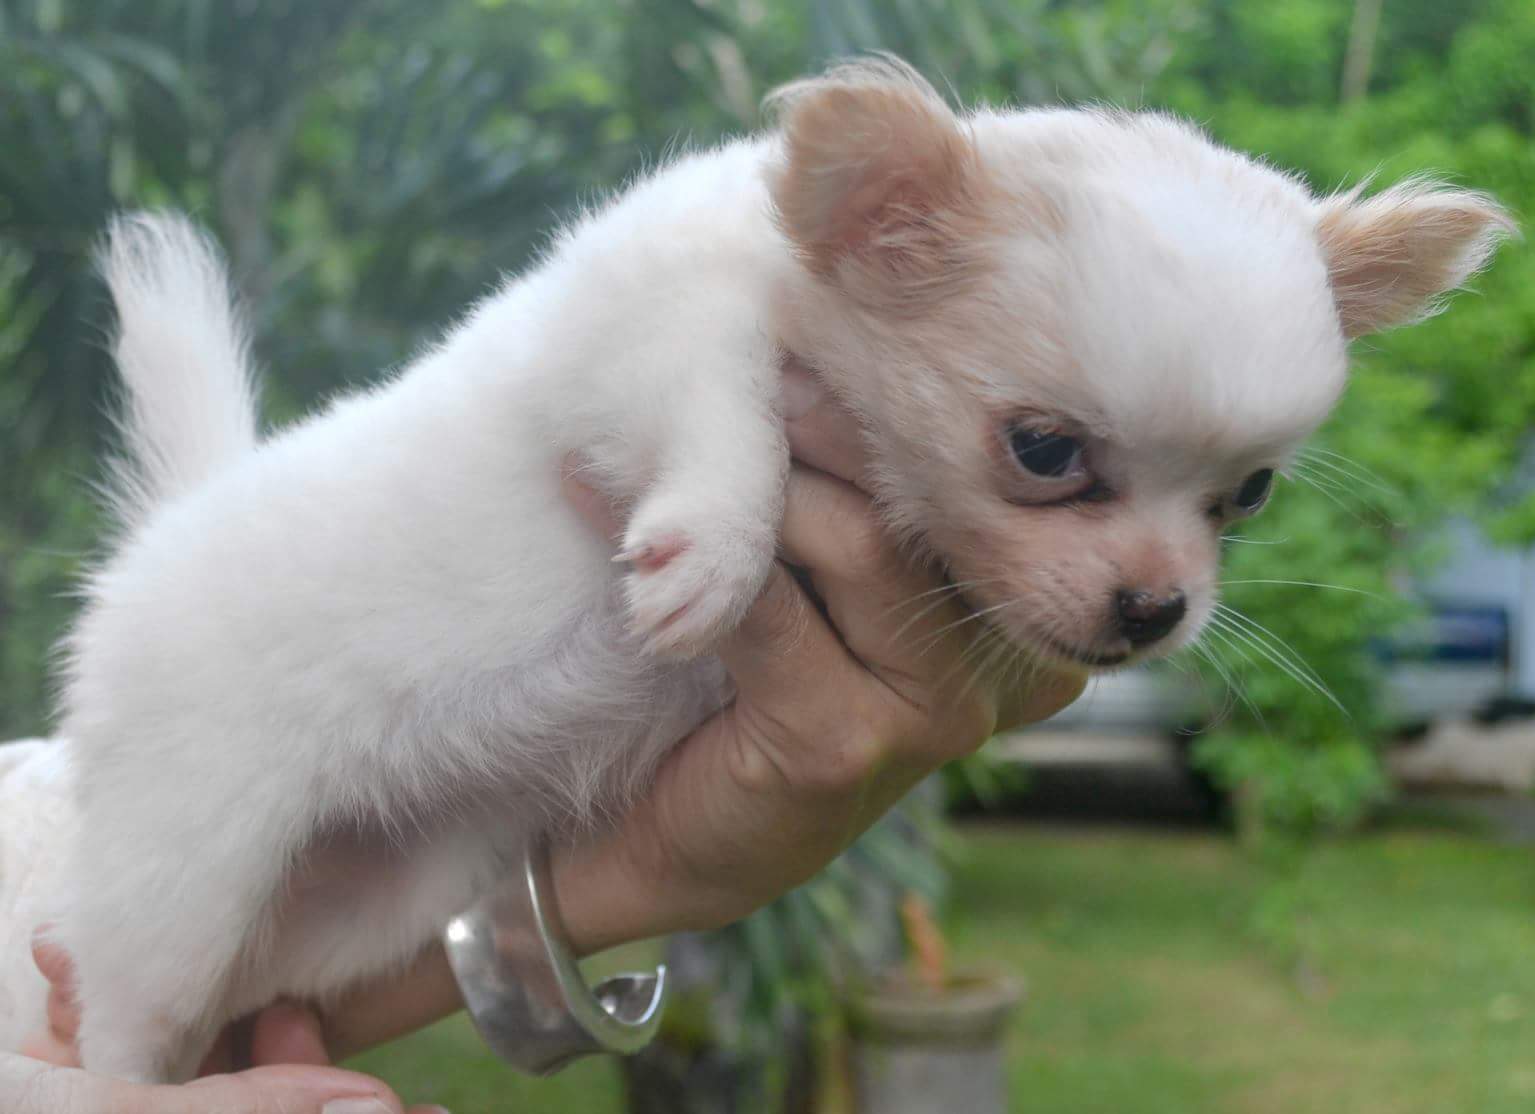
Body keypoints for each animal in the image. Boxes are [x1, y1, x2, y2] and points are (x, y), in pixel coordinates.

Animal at [0, 58, 1510, 1079]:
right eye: (1042, 449)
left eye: (1245, 492)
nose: (1154, 607)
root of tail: (168, 534)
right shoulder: (638, 331)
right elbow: (725, 407)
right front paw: (716, 553)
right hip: (188, 865)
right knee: (129, 1014)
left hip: (354, 904)